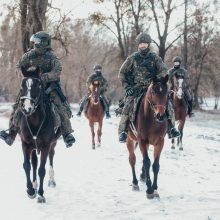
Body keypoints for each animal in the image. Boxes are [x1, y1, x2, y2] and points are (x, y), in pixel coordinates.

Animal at [17, 66, 60, 203]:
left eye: (38, 86)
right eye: (22, 86)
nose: (27, 108)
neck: (35, 120)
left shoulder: (45, 145)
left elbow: (42, 170)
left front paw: (40, 194)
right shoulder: (25, 144)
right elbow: (27, 165)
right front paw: (31, 190)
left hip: (53, 143)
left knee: (51, 157)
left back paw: (51, 181)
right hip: (33, 147)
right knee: (34, 163)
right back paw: (35, 186)